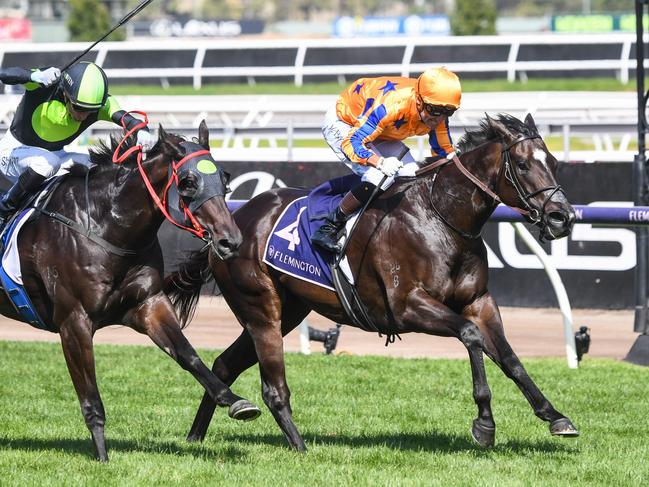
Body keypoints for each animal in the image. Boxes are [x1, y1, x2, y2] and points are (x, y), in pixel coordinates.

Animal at [0, 121, 258, 462]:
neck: (105, 227)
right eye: (188, 182)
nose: (231, 241)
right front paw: (102, 457)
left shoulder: (149, 304)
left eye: (224, 180)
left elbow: (188, 355)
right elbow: (90, 397)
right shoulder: (73, 321)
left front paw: (234, 400)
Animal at [166, 112, 576, 452]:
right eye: (522, 164)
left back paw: (196, 436)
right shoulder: (408, 306)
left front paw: (555, 416)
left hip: (288, 312)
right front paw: (484, 423)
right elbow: (471, 337)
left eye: (554, 163)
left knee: (224, 364)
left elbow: (509, 356)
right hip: (260, 307)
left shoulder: (479, 300)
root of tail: (228, 225)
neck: (440, 217)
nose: (563, 218)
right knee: (263, 380)